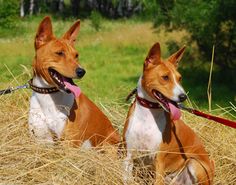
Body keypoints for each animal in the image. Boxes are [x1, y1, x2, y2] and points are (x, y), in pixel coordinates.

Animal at [28, 17, 120, 147]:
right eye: (59, 53)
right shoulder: (40, 140)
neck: (48, 95)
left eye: (76, 55)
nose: (81, 71)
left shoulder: (68, 143)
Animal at [122, 42, 215, 184]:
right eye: (165, 77)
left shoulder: (159, 161)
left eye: (180, 78)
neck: (147, 115)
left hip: (194, 163)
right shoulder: (129, 155)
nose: (183, 97)